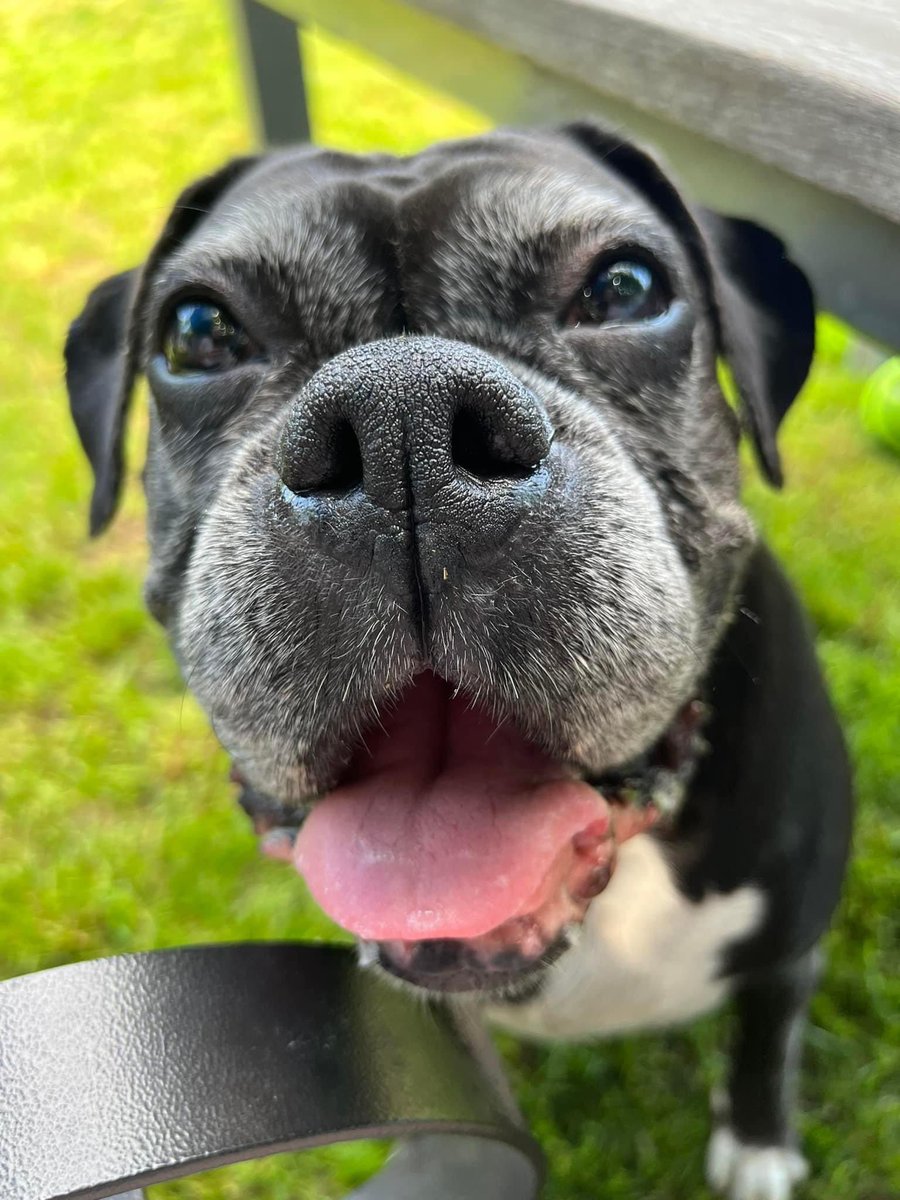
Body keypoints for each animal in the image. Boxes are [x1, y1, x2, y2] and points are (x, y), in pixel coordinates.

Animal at [65, 124, 854, 1200]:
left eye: (626, 288)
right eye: (197, 332)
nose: (401, 415)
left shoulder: (792, 944)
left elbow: (765, 1041)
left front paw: (761, 1147)